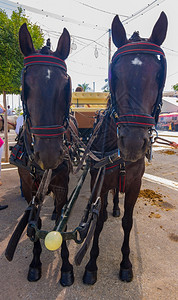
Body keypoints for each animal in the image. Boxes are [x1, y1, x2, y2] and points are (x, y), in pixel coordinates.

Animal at [81, 11, 167, 284]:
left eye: (159, 75)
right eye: (115, 75)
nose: (131, 144)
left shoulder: (134, 184)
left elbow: (128, 222)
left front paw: (126, 263)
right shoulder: (99, 179)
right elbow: (98, 220)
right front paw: (91, 264)